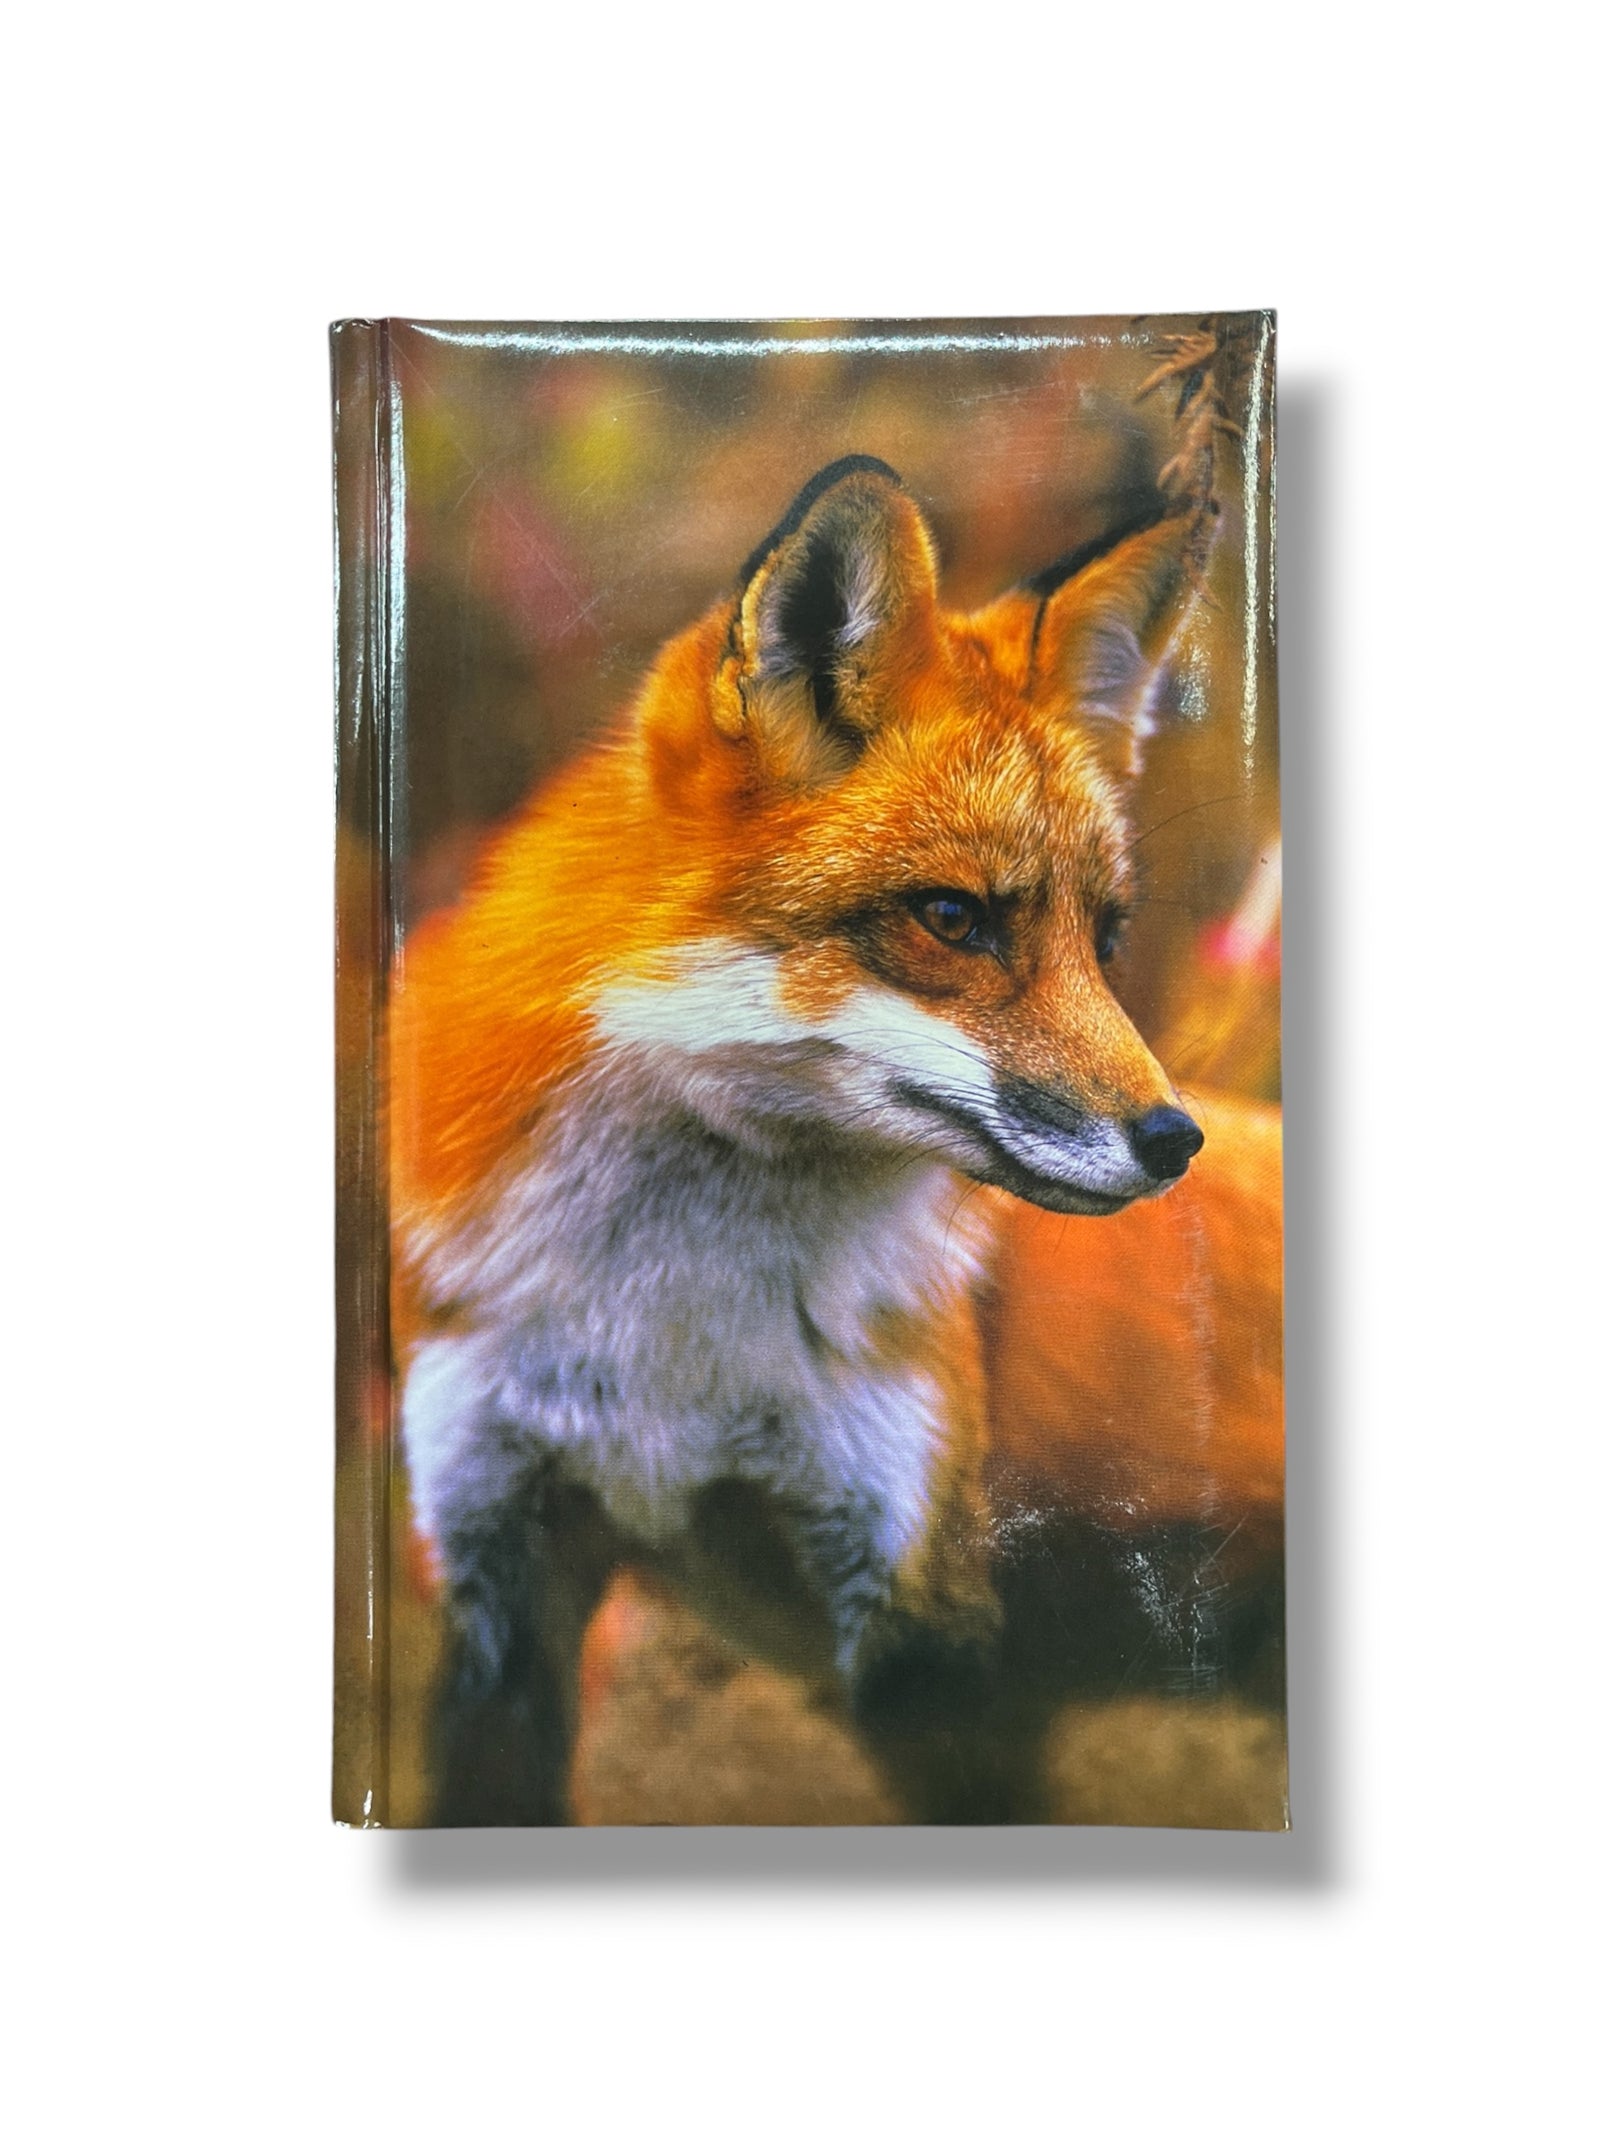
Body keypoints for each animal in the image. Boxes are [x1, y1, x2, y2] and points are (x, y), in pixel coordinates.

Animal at [389, 452, 1270, 1825]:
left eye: (1105, 937)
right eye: (953, 919)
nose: (1172, 1140)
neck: (666, 1343)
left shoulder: (927, 1618)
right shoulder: (496, 1564)